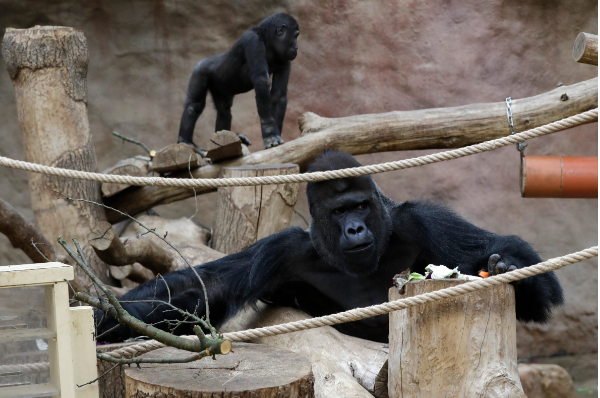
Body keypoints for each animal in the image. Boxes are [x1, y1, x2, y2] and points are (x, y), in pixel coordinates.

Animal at [97, 151, 564, 344]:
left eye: (360, 205)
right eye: (340, 212)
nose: (355, 228)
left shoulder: (422, 220)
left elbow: (491, 249)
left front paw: (511, 271)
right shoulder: (284, 250)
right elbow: (205, 289)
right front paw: (107, 317)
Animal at [178, 12, 300, 149]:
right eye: (295, 36)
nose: (297, 48)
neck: (267, 39)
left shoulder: (285, 57)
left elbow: (278, 94)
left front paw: (276, 133)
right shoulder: (253, 41)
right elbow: (262, 82)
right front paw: (271, 134)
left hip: (221, 87)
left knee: (224, 110)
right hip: (200, 70)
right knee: (195, 105)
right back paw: (185, 141)